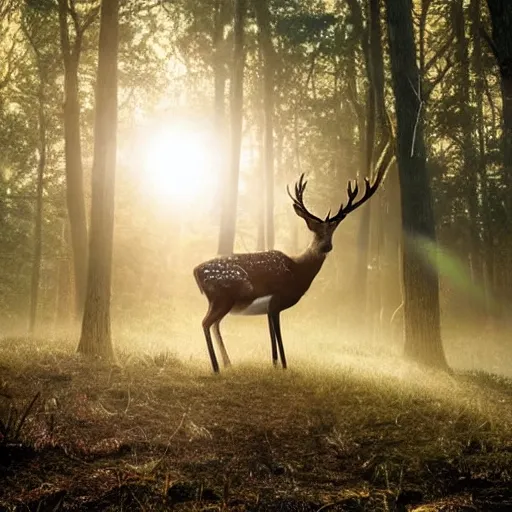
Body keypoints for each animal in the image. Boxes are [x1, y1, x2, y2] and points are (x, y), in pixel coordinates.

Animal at [194, 140, 394, 372]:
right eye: (316, 231)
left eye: (332, 230)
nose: (327, 246)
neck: (298, 270)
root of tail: (196, 271)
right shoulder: (277, 299)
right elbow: (279, 337)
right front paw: (284, 366)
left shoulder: (270, 307)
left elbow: (273, 337)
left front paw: (275, 365)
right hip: (223, 296)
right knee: (205, 322)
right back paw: (217, 367)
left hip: (220, 301)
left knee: (214, 324)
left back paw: (227, 363)